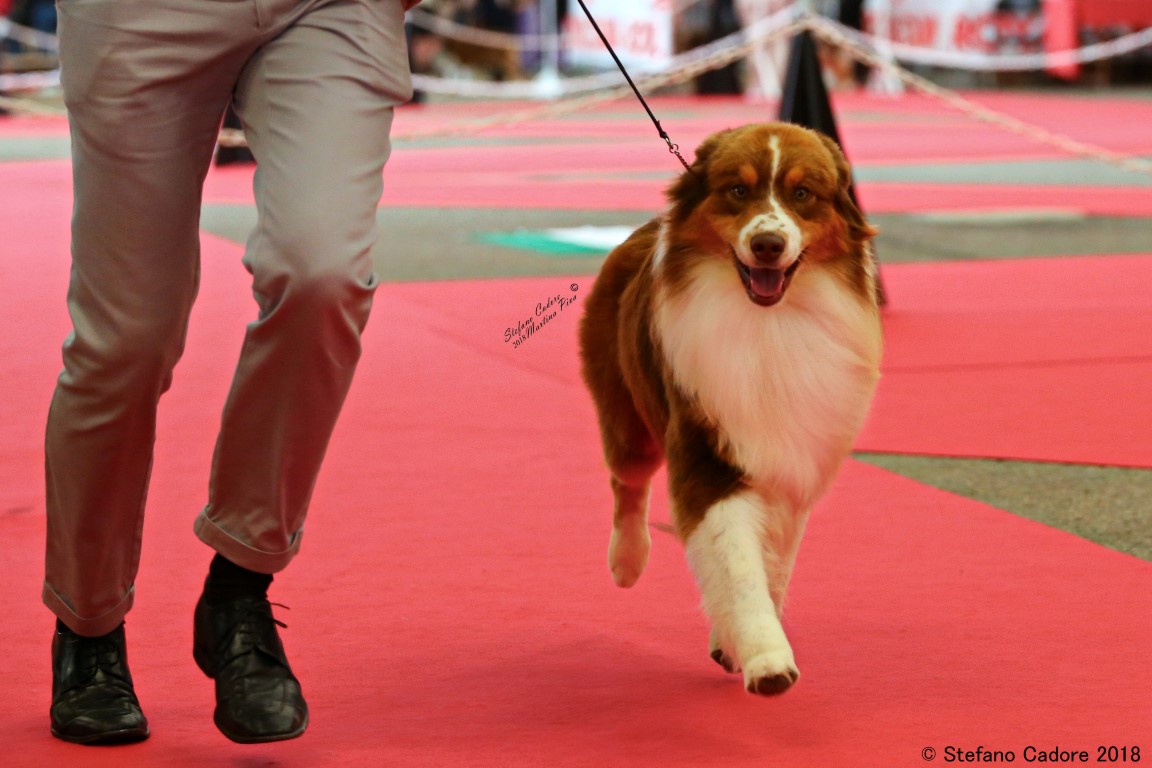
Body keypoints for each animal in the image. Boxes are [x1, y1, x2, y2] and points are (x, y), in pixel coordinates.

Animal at [576, 120, 880, 695]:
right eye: (737, 190)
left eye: (803, 194)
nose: (767, 244)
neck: (767, 325)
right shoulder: (708, 450)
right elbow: (736, 563)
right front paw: (767, 659)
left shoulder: (793, 465)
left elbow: (768, 564)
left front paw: (736, 643)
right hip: (626, 413)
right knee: (627, 481)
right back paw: (626, 561)